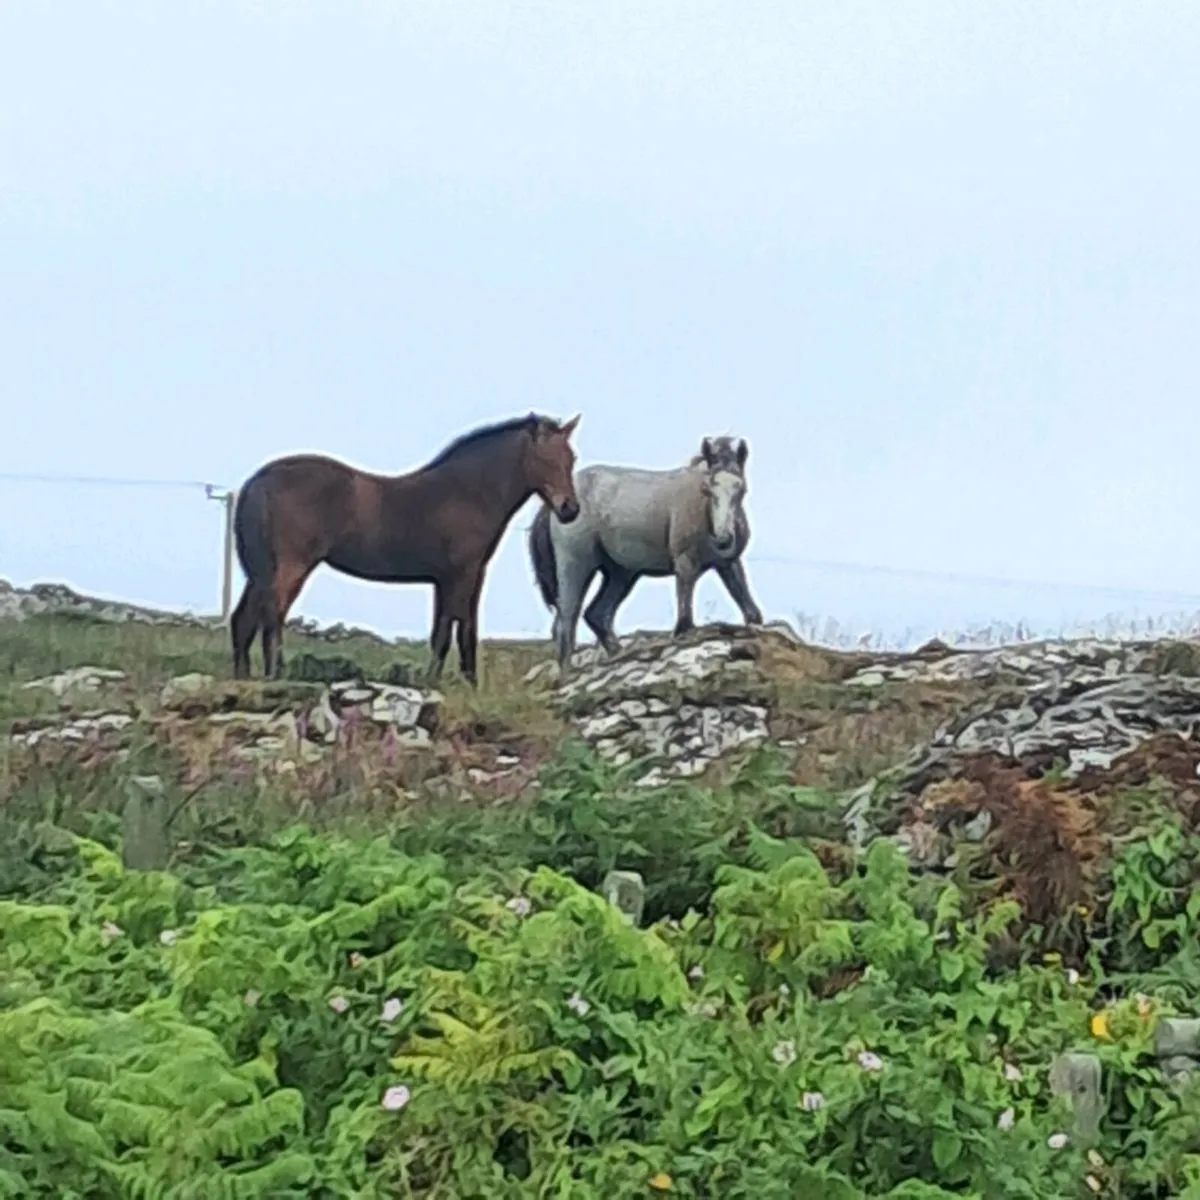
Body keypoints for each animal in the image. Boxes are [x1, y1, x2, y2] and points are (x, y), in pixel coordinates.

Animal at [231, 413, 581, 684]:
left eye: (571, 458)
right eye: (543, 458)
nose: (570, 509)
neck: (467, 494)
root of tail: (256, 482)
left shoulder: (454, 578)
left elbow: (454, 630)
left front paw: (462, 683)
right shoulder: (461, 575)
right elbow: (452, 630)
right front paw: (440, 683)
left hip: (261, 571)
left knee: (243, 620)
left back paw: (244, 677)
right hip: (292, 566)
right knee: (273, 613)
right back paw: (275, 674)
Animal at [528, 434, 763, 668]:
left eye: (741, 489)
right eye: (707, 489)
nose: (723, 539)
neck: (704, 512)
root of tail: (558, 505)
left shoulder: (728, 563)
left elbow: (751, 612)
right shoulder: (685, 564)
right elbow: (684, 622)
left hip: (621, 573)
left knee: (596, 615)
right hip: (576, 566)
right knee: (566, 624)